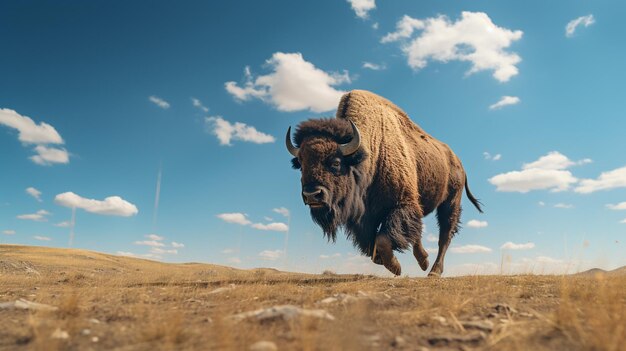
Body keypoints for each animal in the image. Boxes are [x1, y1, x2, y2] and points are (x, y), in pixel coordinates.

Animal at [286, 91, 480, 278]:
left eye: (335, 162)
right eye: (301, 164)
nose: (312, 195)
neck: (371, 151)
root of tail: (458, 162)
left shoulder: (401, 204)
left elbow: (383, 239)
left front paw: (395, 267)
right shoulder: (366, 218)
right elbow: (372, 245)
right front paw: (386, 261)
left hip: (450, 202)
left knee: (444, 236)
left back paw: (434, 271)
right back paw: (424, 260)